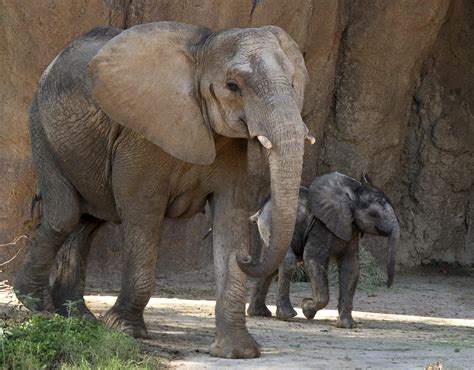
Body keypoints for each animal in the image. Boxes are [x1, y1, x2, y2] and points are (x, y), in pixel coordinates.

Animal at [13, 21, 312, 358]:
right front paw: (124, 329)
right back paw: (36, 304)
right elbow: (143, 210)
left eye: (292, 83)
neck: (203, 49)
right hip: (41, 126)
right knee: (66, 214)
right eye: (233, 86)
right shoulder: (140, 136)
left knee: (87, 221)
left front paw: (237, 352)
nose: (247, 259)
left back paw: (78, 317)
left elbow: (231, 216)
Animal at [248, 172, 400, 328]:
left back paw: (259, 313)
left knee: (270, 266)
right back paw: (287, 315)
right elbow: (313, 258)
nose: (387, 285)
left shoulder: (351, 229)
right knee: (286, 261)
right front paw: (306, 308)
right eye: (374, 215)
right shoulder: (321, 226)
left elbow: (351, 267)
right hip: (271, 224)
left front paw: (346, 326)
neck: (352, 194)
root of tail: (260, 210)